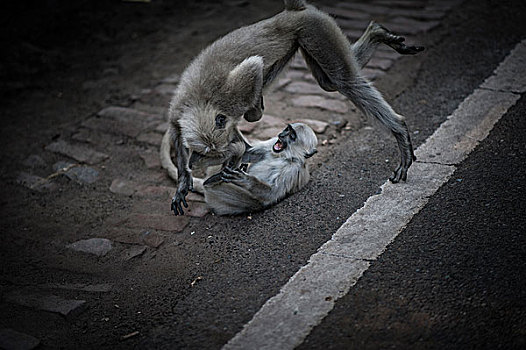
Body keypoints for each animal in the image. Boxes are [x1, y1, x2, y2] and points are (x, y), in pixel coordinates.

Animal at [161, 0, 424, 215]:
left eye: (211, 153)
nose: (198, 161)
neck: (199, 103)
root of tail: (290, 12)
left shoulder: (229, 98)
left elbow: (254, 70)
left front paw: (236, 147)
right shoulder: (176, 114)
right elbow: (180, 134)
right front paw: (184, 180)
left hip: (315, 28)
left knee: (343, 80)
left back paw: (399, 129)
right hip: (311, 35)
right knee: (329, 82)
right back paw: (378, 32)